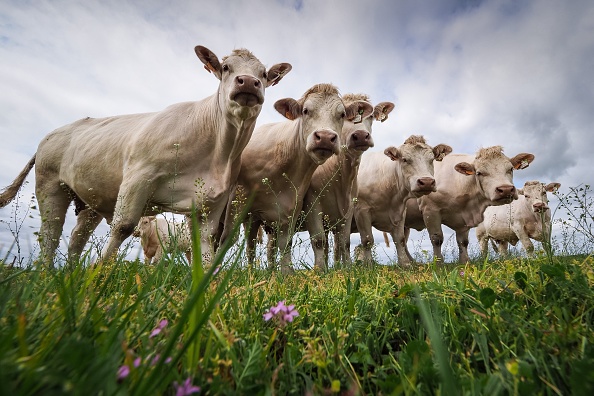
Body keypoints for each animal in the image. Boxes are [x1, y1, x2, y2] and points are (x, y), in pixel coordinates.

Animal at [0, 44, 290, 266]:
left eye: (264, 74)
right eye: (226, 67)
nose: (249, 82)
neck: (219, 152)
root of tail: (54, 133)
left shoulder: (213, 200)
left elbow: (207, 243)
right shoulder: (138, 177)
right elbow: (123, 227)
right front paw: (100, 273)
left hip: (92, 201)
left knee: (76, 239)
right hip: (50, 185)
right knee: (50, 234)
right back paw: (48, 273)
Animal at [224, 83, 372, 276]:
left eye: (341, 114)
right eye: (306, 110)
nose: (325, 137)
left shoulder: (304, 208)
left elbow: (341, 243)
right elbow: (319, 240)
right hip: (252, 218)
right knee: (250, 245)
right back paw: (251, 271)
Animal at [300, 94, 394, 270]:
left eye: (371, 116)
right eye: (343, 116)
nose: (361, 135)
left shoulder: (349, 209)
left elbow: (345, 243)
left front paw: (347, 269)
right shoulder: (312, 203)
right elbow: (318, 240)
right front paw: (319, 270)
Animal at [352, 135, 448, 266]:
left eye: (431, 159)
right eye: (405, 160)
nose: (427, 182)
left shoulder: (400, 212)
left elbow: (400, 240)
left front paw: (405, 263)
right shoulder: (361, 210)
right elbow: (367, 240)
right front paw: (368, 264)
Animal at [402, 145, 532, 262]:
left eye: (510, 169)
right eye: (479, 173)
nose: (506, 189)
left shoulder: (464, 219)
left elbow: (463, 242)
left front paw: (465, 262)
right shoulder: (430, 210)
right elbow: (437, 239)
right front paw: (438, 264)